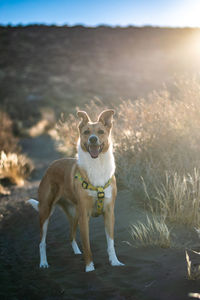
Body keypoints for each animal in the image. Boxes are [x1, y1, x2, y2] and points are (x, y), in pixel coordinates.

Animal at [27, 109, 123, 272]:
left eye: (100, 132)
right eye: (86, 132)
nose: (92, 139)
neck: (96, 165)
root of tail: (51, 165)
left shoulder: (109, 213)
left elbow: (111, 243)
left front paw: (115, 262)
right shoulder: (85, 215)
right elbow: (87, 245)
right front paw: (89, 268)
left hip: (74, 214)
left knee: (71, 235)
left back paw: (77, 252)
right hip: (46, 211)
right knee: (41, 242)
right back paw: (43, 263)